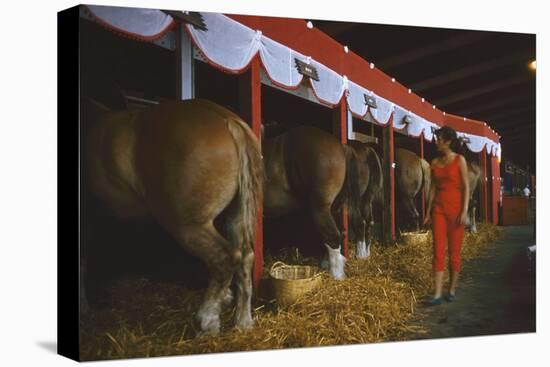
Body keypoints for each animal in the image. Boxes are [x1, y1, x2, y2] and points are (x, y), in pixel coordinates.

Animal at [84, 98, 266, 336]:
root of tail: (228, 120)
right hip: (234, 217)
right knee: (245, 256)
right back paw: (243, 321)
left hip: (188, 226)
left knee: (224, 259)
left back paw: (207, 321)